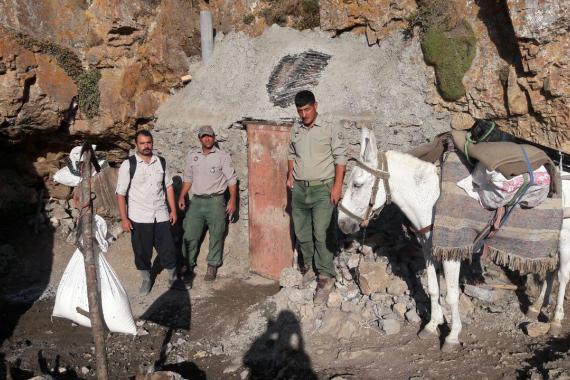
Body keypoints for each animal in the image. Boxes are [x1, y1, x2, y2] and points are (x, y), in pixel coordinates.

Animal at [338, 127, 568, 350]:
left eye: (357, 184)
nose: (342, 223)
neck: (429, 198)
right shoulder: (428, 249)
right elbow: (433, 288)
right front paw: (431, 326)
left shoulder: (452, 251)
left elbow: (451, 294)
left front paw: (452, 336)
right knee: (551, 271)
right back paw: (536, 307)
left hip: (565, 243)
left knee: (563, 276)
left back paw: (555, 322)